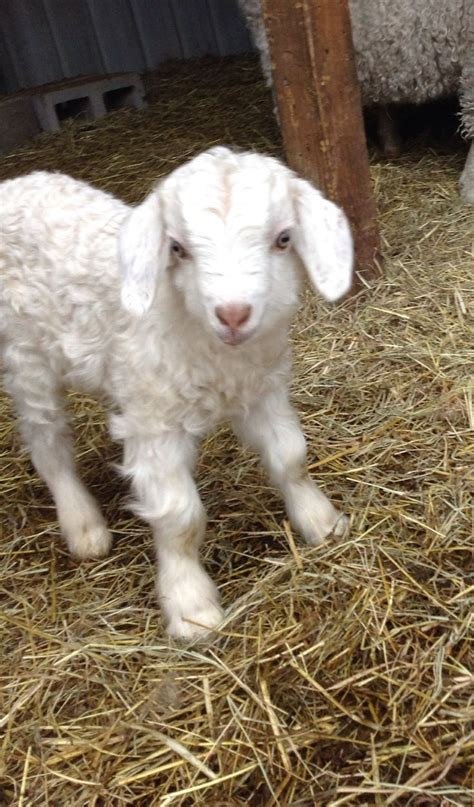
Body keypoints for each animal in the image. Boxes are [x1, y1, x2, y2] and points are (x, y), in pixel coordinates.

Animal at [0, 148, 352, 640]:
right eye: (178, 248)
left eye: (284, 238)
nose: (233, 315)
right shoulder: (156, 425)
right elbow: (180, 517)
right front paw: (192, 609)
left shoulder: (263, 389)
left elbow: (291, 458)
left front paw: (323, 523)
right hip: (25, 354)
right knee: (46, 439)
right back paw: (84, 527)